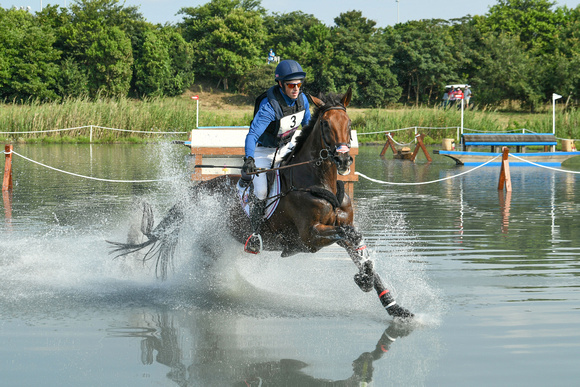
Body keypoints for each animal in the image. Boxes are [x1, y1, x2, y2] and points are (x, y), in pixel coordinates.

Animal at [109, 89, 414, 320]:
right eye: (326, 125)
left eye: (348, 124)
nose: (343, 160)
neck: (320, 183)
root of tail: (198, 189)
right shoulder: (309, 237)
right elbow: (350, 236)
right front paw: (364, 280)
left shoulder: (338, 228)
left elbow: (361, 248)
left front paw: (394, 307)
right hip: (211, 237)